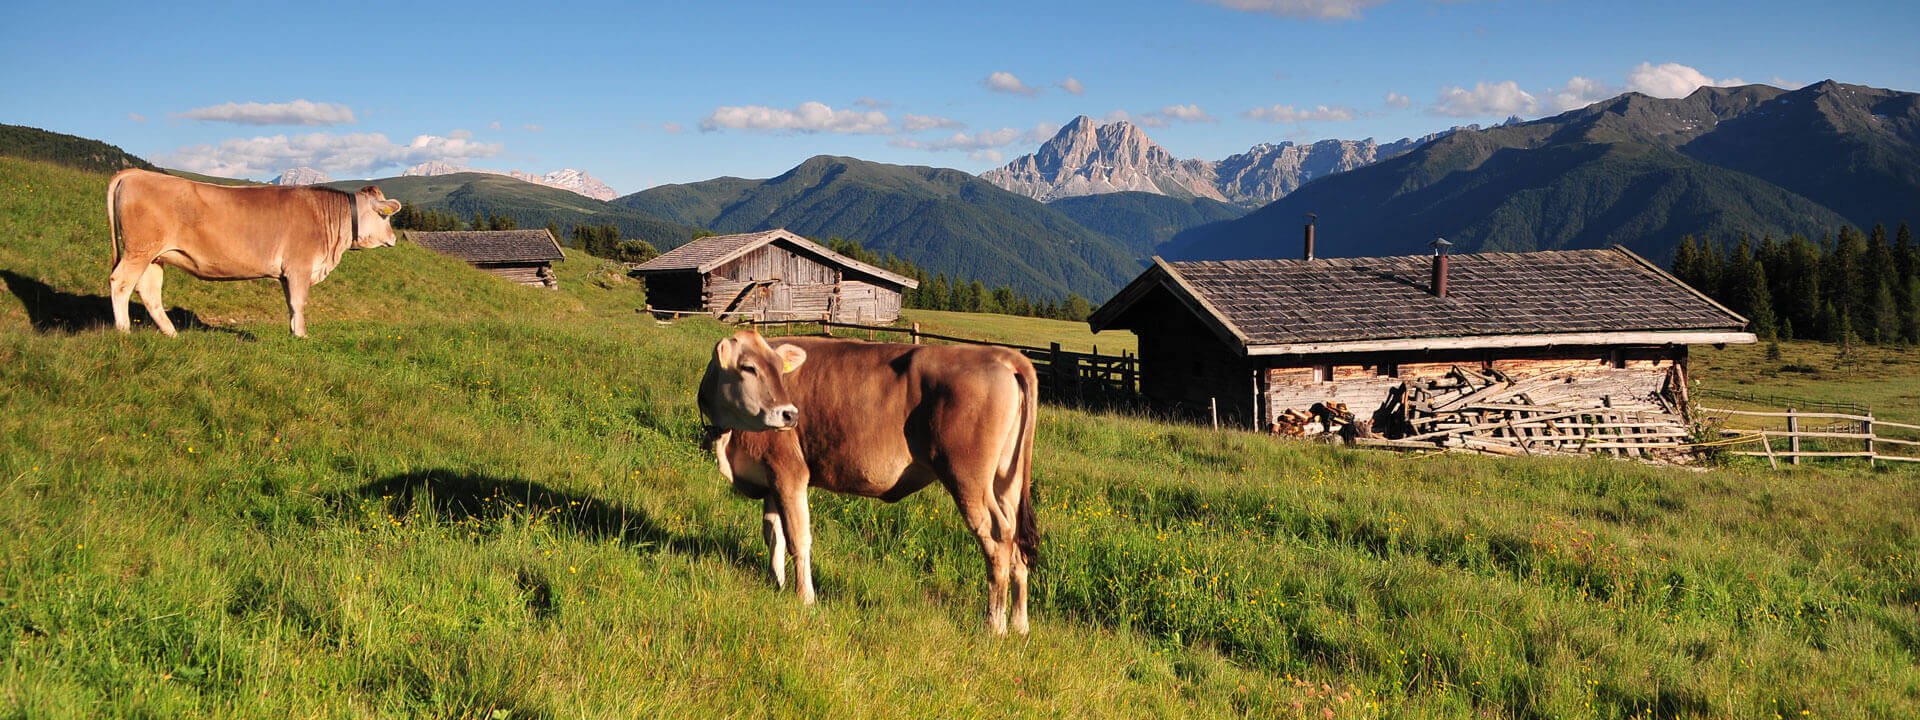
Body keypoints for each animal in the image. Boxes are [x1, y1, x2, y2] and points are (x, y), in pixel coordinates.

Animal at [104, 170, 401, 337]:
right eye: (385, 217)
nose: (394, 238)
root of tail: (134, 174)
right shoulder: (300, 267)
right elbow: (299, 302)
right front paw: (302, 336)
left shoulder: (286, 273)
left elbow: (290, 304)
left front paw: (293, 332)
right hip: (139, 249)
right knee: (121, 282)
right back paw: (124, 331)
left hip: (154, 256)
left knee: (148, 291)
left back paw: (171, 333)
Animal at [702, 330, 1044, 633]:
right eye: (749, 367)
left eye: (777, 366)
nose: (788, 414)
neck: (730, 441)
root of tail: (1000, 355)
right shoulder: (770, 476)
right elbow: (774, 534)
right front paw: (777, 583)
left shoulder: (789, 470)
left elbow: (798, 537)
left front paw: (805, 598)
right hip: (1006, 482)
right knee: (1016, 543)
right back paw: (1019, 624)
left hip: (968, 479)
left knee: (997, 537)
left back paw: (994, 625)